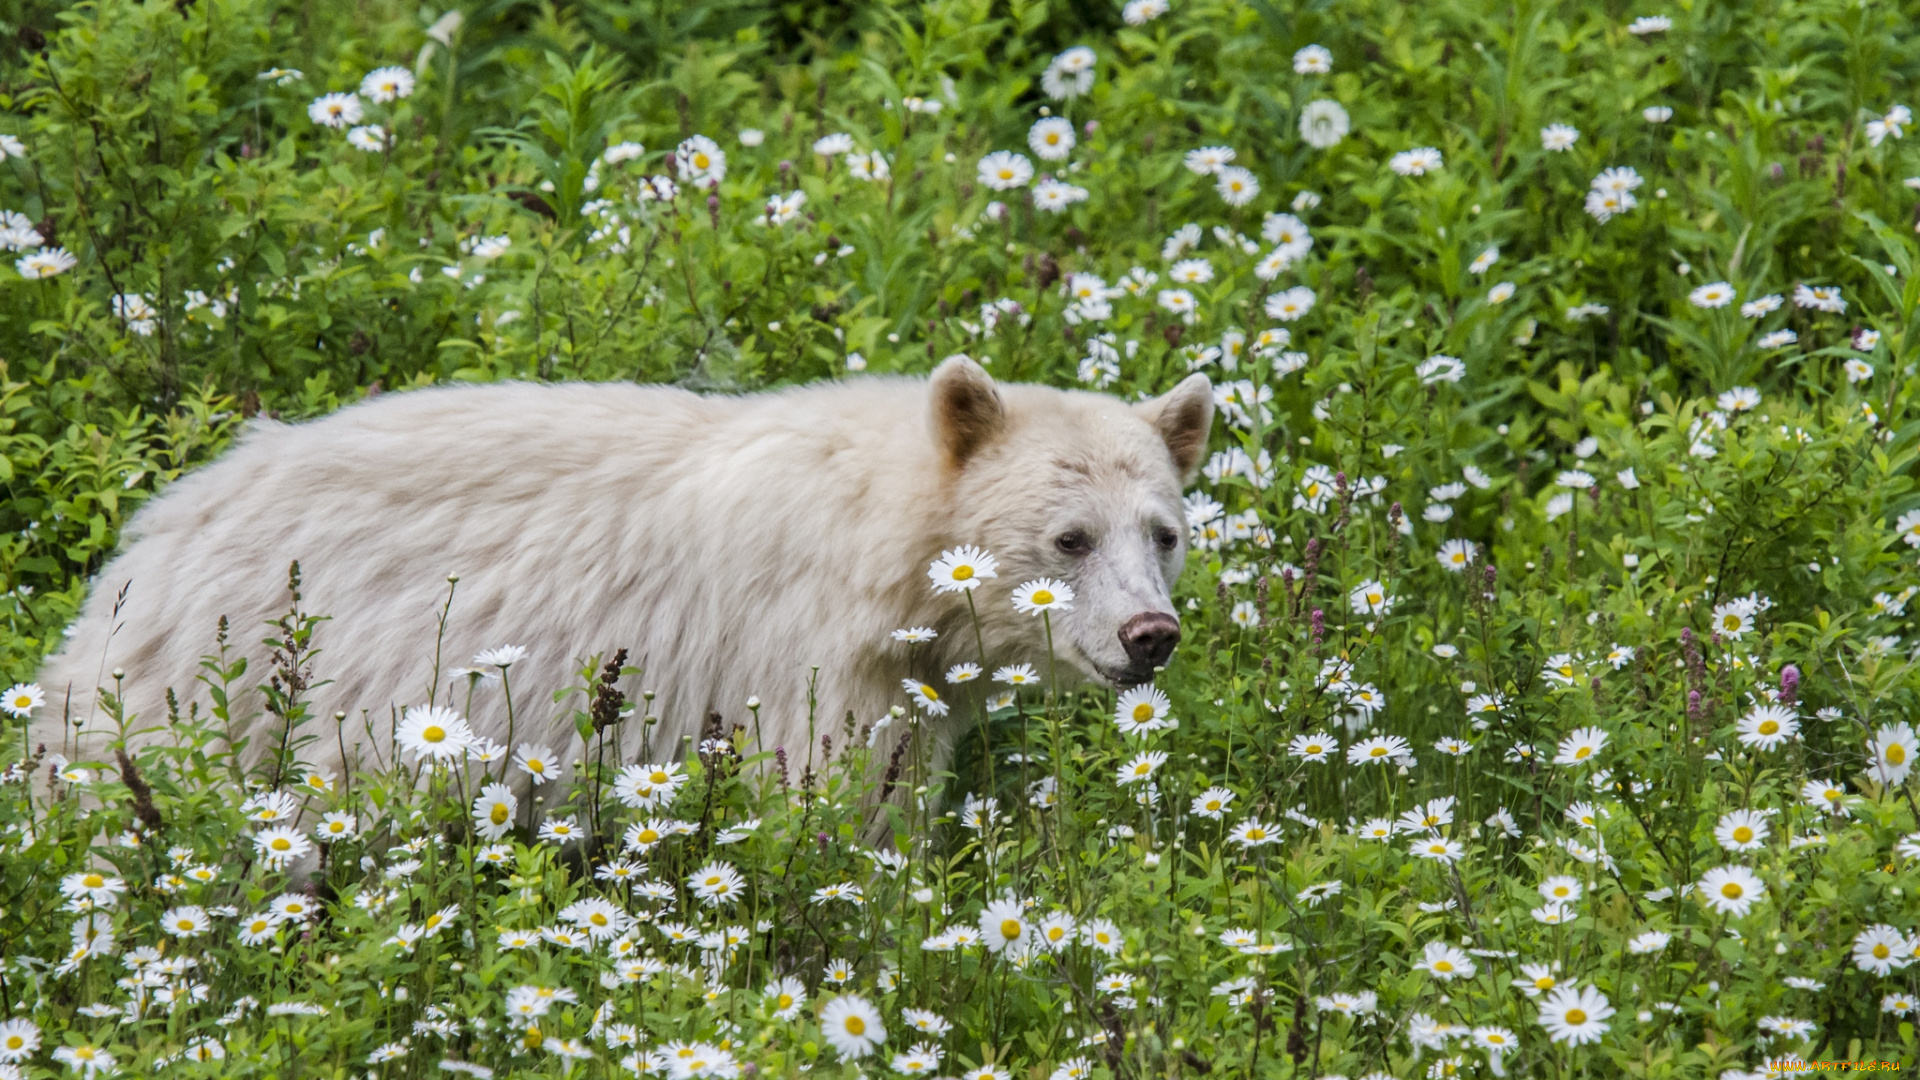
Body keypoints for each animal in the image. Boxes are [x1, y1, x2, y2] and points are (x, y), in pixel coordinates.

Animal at [30, 357, 1205, 787]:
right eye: (1070, 538)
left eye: (1162, 531)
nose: (1150, 637)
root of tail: (153, 534)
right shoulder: (797, 662)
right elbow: (824, 803)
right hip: (219, 694)